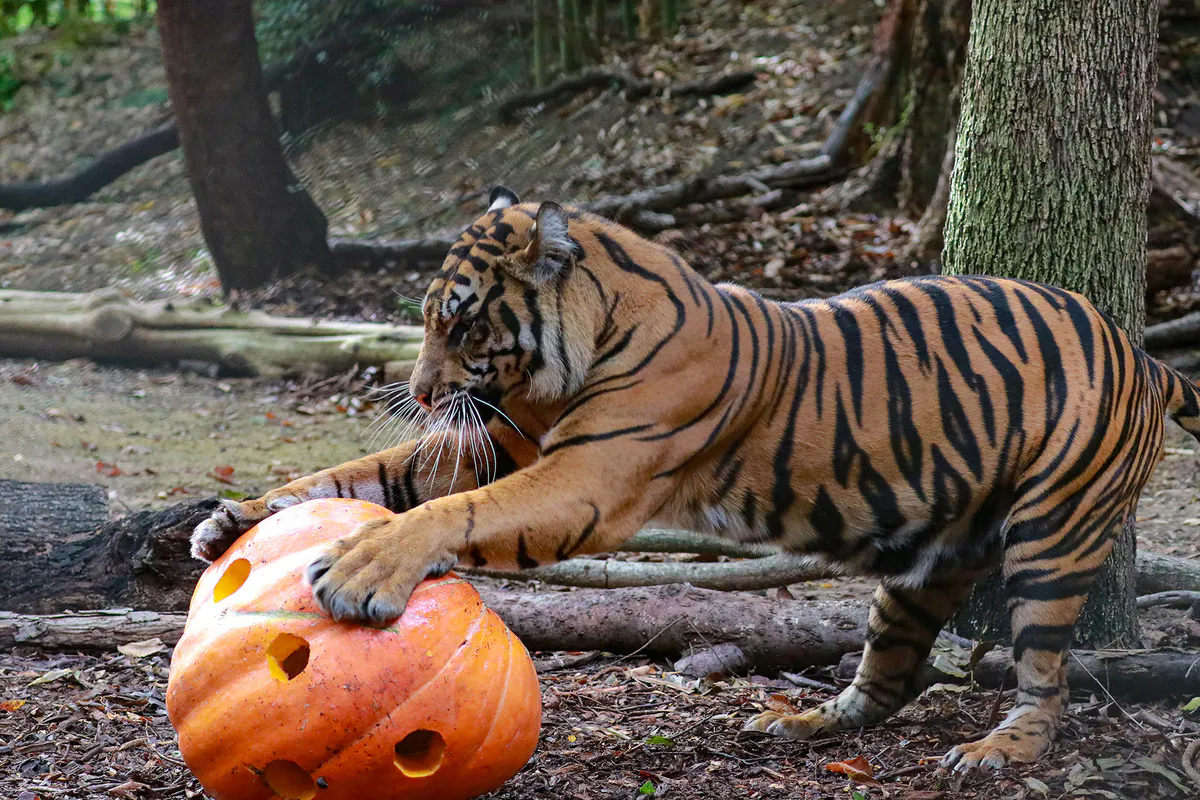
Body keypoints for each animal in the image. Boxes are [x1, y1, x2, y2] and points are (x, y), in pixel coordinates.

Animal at [192, 186, 1200, 772]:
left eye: (463, 323)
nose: (422, 390)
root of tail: (1145, 355)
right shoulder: (502, 440)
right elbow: (367, 475)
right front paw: (229, 520)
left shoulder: (582, 474)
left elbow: (456, 508)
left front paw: (359, 568)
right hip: (927, 560)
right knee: (893, 671)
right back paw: (801, 726)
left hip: (1052, 538)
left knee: (1046, 674)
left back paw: (999, 751)